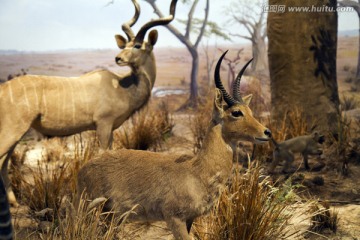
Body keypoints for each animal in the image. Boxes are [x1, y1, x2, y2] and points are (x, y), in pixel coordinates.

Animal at [0, 0, 178, 206]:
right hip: (13, 130)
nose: (118, 58)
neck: (122, 86)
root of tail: (3, 89)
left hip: (16, 133)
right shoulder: (103, 124)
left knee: (4, 162)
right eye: (127, 44)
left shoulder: (110, 129)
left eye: (137, 45)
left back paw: (14, 203)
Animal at [77, 51, 272, 240]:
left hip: (111, 217)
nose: (267, 132)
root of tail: (83, 169)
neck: (197, 170)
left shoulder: (189, 219)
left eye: (250, 111)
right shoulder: (174, 218)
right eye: (236, 112)